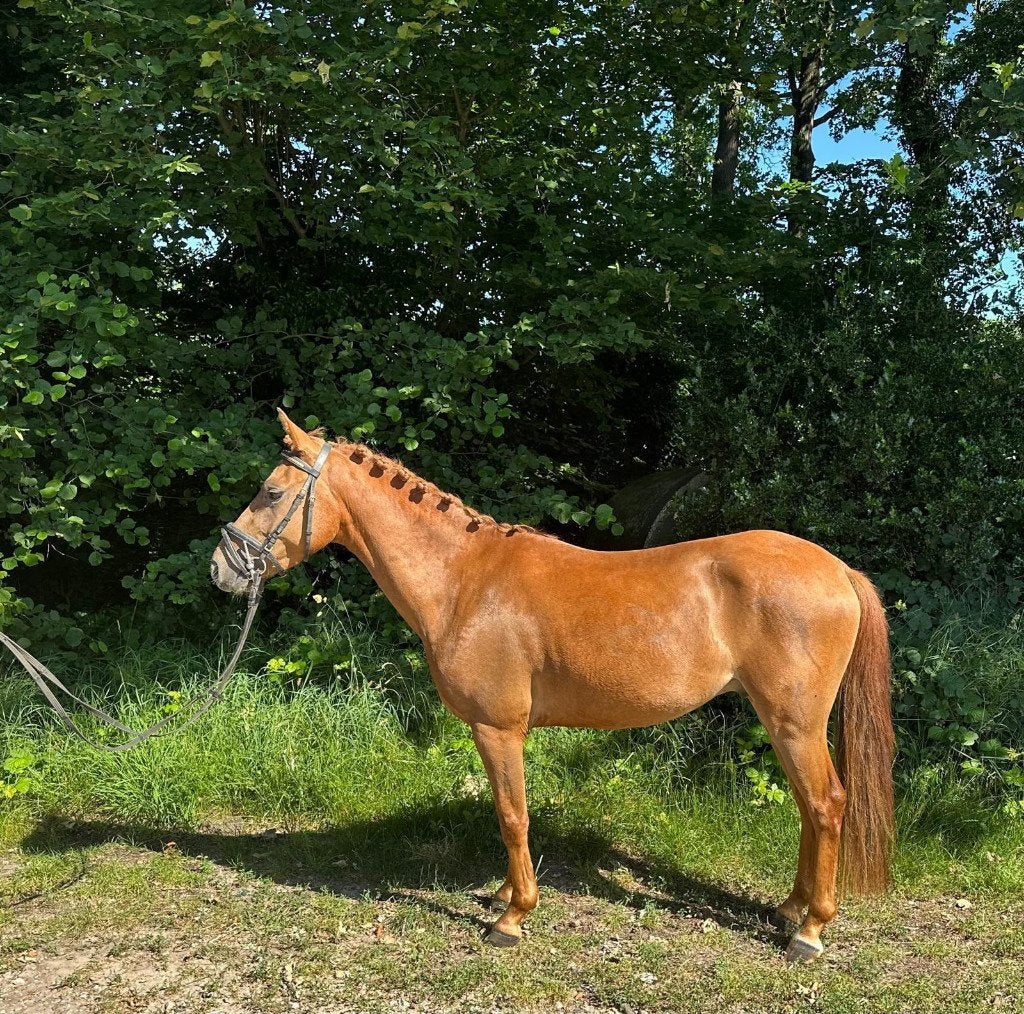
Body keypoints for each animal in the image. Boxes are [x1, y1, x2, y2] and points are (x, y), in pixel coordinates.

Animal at [210, 409, 895, 962]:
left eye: (272, 491)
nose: (221, 569)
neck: (464, 581)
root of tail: (837, 569)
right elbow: (509, 812)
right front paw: (502, 895)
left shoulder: (498, 728)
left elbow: (512, 815)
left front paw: (512, 918)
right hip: (784, 721)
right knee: (810, 806)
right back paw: (789, 910)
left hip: (794, 721)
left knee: (827, 804)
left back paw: (810, 932)